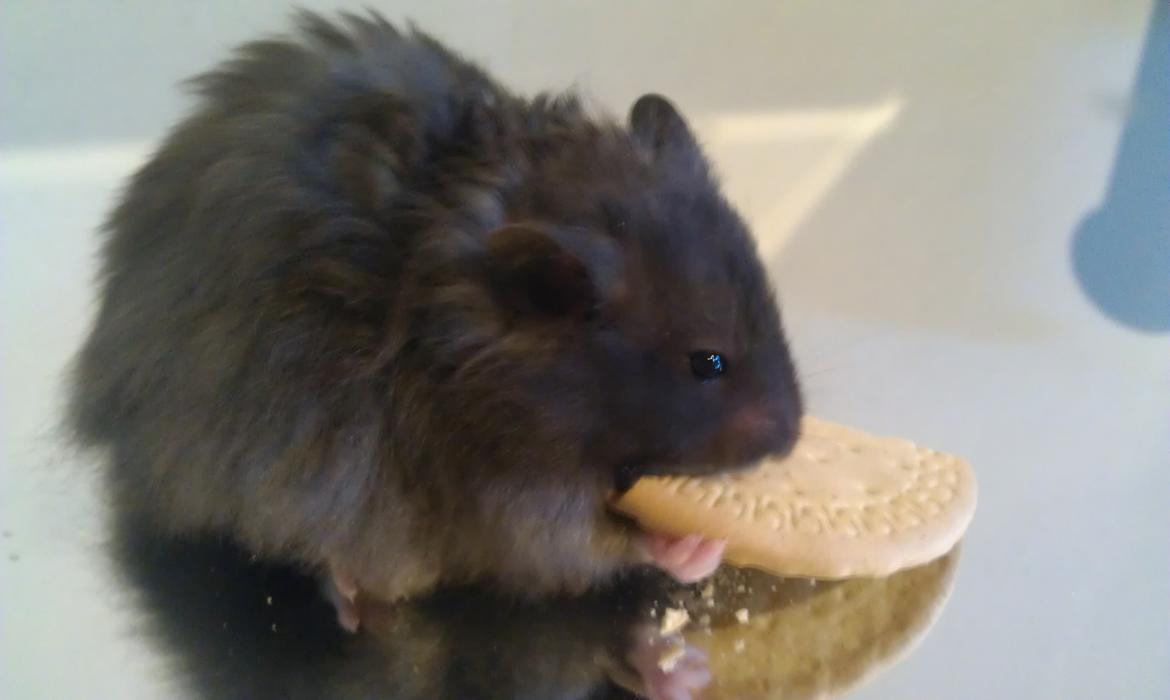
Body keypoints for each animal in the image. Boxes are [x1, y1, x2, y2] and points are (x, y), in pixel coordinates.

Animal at [69, 11, 803, 631]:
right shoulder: (510, 497)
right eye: (707, 363)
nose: (791, 440)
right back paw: (353, 597)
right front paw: (696, 546)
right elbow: (601, 540)